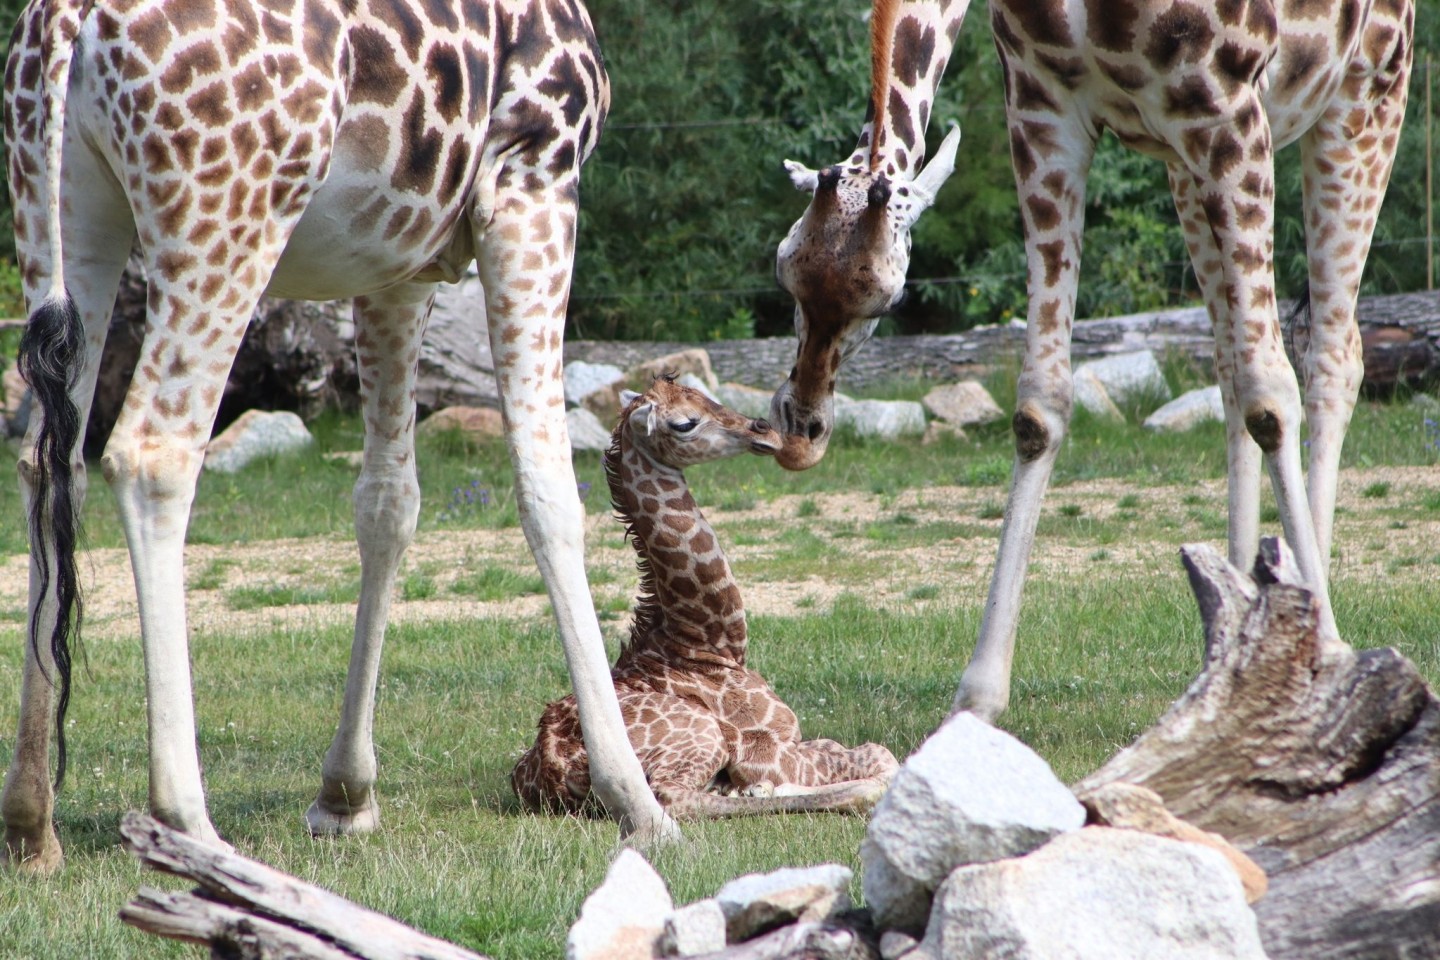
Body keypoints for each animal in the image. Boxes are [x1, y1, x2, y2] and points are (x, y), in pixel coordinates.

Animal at [2, 0, 676, 875]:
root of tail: (68, 24)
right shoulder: (535, 183)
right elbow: (549, 490)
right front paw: (636, 800)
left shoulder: (398, 263)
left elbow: (387, 503)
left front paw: (346, 794)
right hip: (226, 215)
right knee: (151, 453)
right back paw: (188, 823)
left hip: (63, 209)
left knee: (49, 462)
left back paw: (30, 822)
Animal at [512, 374, 892, 817]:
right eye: (684, 423)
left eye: (706, 395)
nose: (763, 430)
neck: (707, 644)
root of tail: (552, 770)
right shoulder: (766, 746)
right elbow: (879, 755)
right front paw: (765, 788)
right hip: (702, 736)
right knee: (673, 797)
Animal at [771, 0, 1411, 719]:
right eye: (784, 271)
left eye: (889, 299)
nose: (801, 433)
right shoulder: (1045, 114)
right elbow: (1039, 406)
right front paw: (979, 695)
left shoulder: (1228, 109)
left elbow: (1272, 393)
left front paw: (1325, 652)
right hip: (1186, 164)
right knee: (1228, 360)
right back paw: (1234, 625)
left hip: (1364, 96)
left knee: (1331, 350)